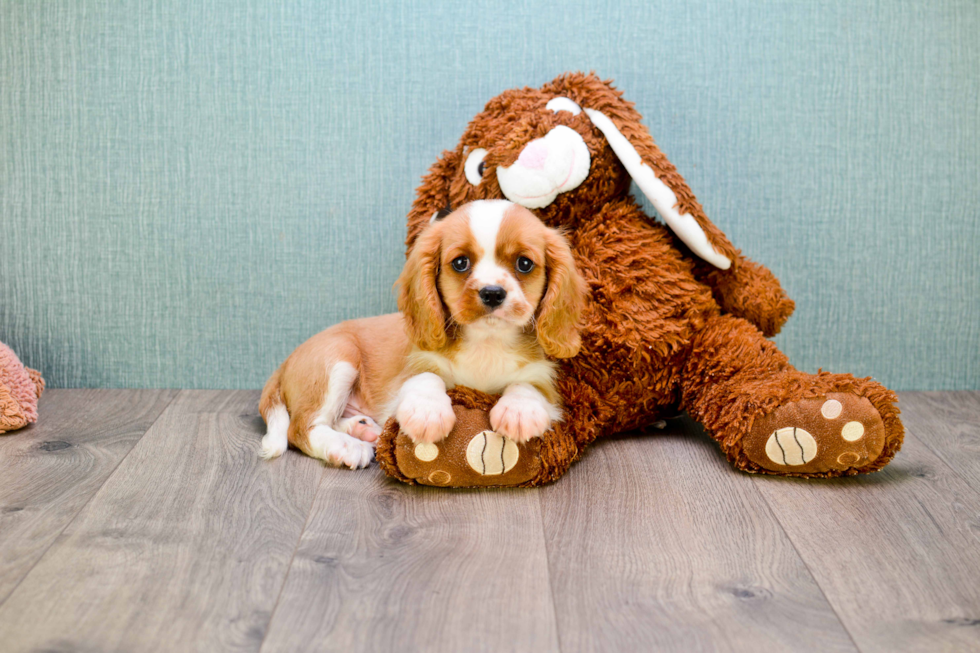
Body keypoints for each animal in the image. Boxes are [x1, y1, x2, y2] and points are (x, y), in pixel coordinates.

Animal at [256, 200, 584, 468]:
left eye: (524, 264)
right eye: (460, 263)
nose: (492, 293)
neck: (487, 342)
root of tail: (282, 364)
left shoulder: (544, 378)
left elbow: (528, 386)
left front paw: (520, 411)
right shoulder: (412, 367)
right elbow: (427, 378)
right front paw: (428, 412)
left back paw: (362, 428)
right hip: (338, 358)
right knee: (301, 428)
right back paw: (347, 446)